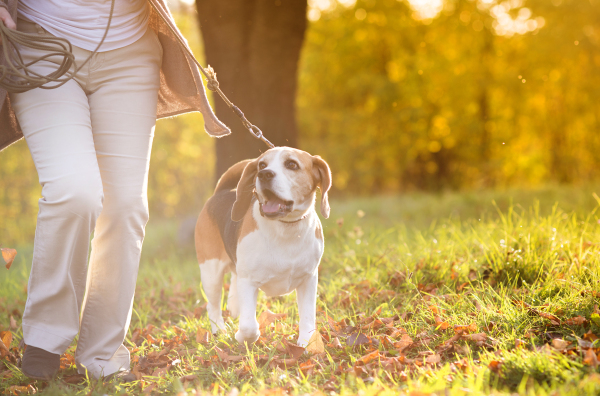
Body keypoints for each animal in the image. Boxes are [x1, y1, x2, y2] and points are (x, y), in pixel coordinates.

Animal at [195, 146, 330, 346]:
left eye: (292, 164)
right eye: (262, 165)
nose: (264, 174)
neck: (286, 228)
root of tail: (221, 192)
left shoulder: (309, 279)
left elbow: (307, 317)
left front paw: (307, 343)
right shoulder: (249, 282)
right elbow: (249, 326)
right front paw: (241, 337)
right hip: (210, 273)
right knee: (213, 307)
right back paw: (220, 331)